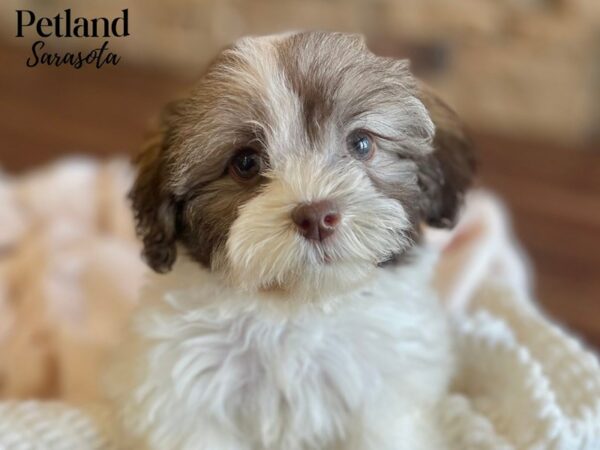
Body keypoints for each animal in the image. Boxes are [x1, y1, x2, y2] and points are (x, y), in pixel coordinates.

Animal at [104, 31, 475, 450]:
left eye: (361, 144)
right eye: (245, 163)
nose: (316, 216)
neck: (293, 309)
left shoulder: (388, 392)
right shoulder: (181, 393)